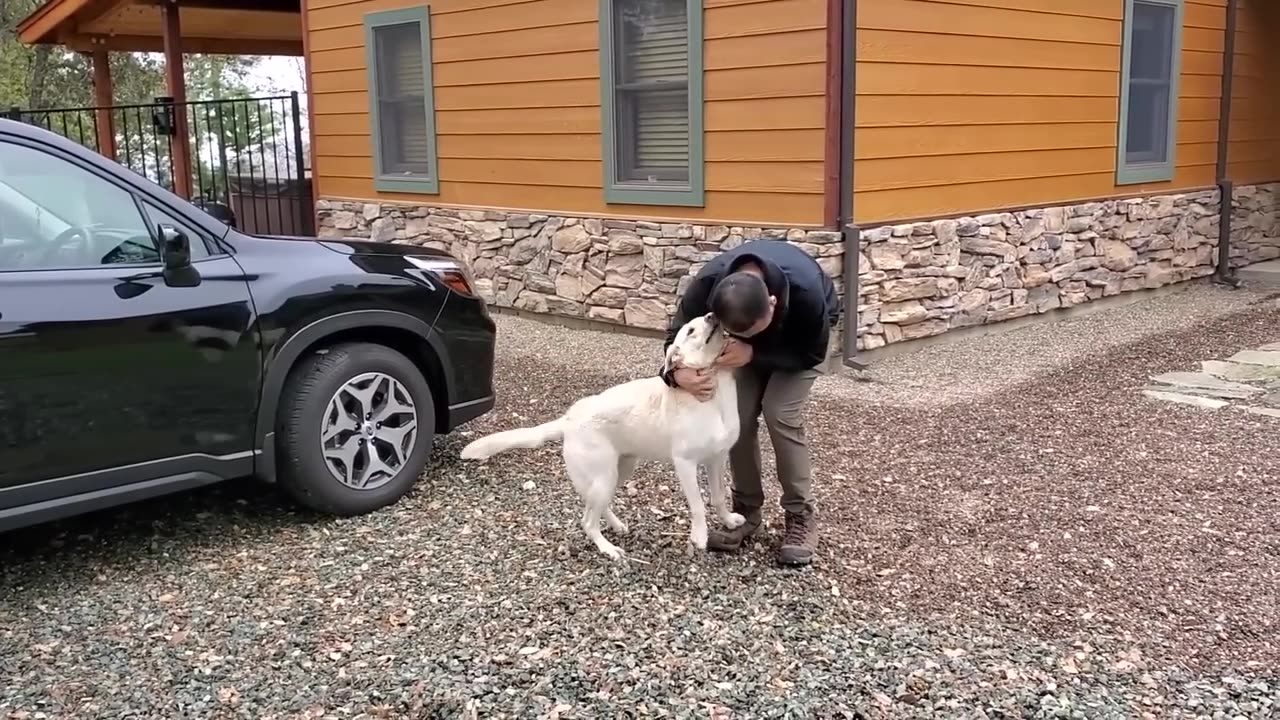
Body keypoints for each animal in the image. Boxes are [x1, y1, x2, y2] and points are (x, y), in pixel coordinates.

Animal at [460, 311, 747, 558]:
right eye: (690, 330)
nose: (713, 314)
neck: (714, 389)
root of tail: (569, 419)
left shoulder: (717, 458)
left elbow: (719, 496)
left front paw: (729, 521)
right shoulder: (685, 464)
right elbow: (698, 504)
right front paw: (699, 536)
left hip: (619, 471)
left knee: (598, 507)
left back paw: (616, 525)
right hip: (603, 476)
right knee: (587, 520)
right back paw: (607, 548)